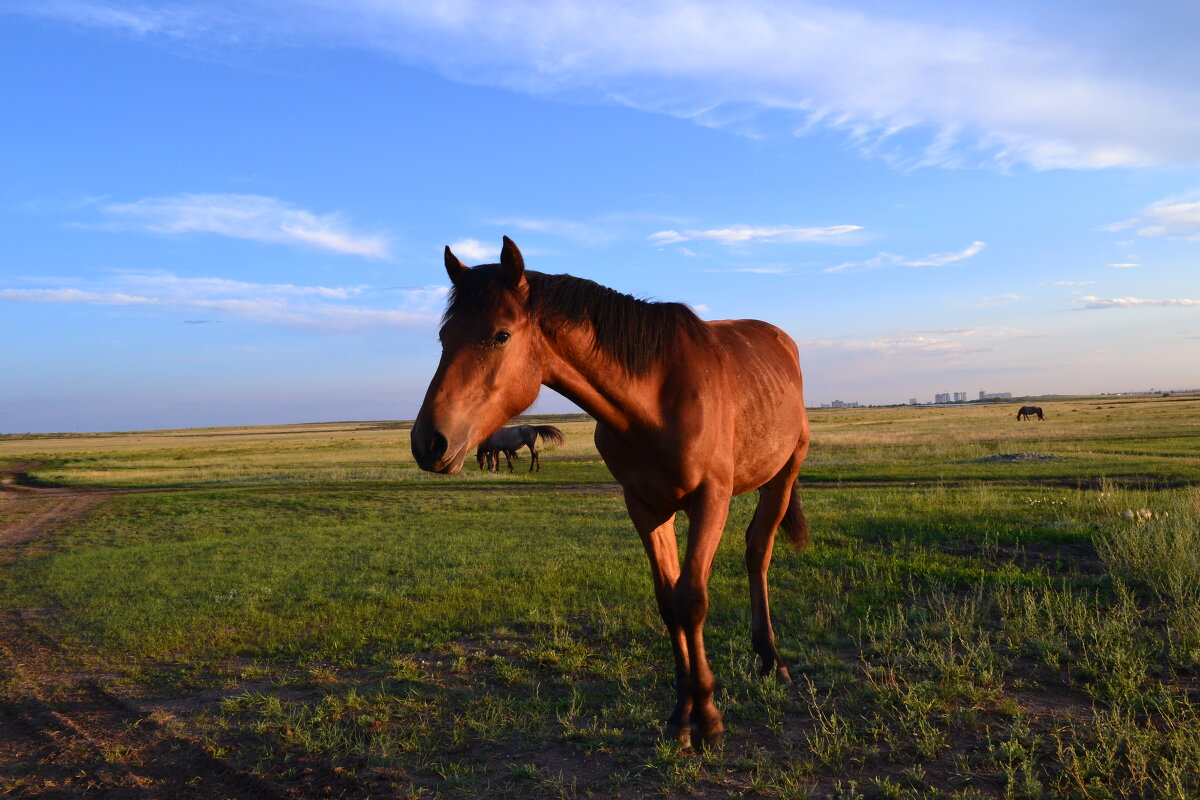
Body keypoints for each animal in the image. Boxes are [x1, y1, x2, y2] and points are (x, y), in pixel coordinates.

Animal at [408, 237, 811, 753]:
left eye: (500, 335)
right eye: (444, 338)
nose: (429, 442)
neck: (656, 398)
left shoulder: (710, 500)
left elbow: (692, 600)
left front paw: (708, 718)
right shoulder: (644, 506)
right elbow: (669, 603)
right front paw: (681, 717)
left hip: (781, 476)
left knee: (758, 553)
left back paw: (772, 659)